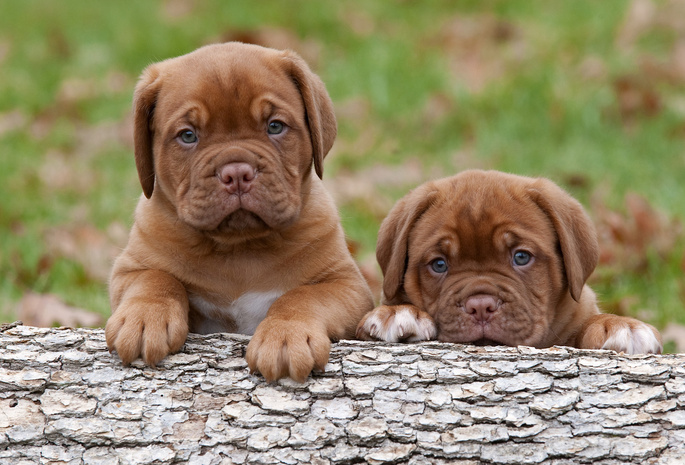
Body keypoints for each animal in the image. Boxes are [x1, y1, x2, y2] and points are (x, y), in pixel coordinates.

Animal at [107, 42, 374, 380]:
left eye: (275, 126)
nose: (236, 173)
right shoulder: (130, 268)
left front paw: (286, 336)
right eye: (188, 135)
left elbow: (303, 296)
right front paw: (144, 319)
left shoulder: (346, 285)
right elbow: (155, 279)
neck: (239, 247)